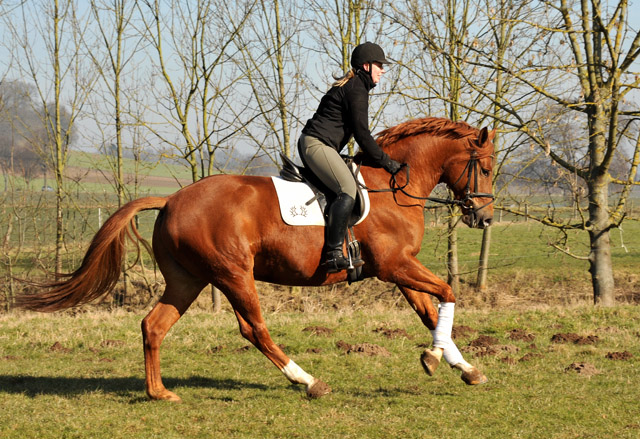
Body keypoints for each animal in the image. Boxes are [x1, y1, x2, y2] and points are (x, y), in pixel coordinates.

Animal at [13, 116, 496, 402]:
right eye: (488, 168)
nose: (485, 217)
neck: (394, 186)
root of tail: (171, 200)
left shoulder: (397, 270)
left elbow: (430, 311)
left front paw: (464, 367)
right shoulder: (395, 266)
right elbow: (447, 292)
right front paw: (435, 359)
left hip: (188, 280)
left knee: (154, 325)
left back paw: (159, 393)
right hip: (232, 274)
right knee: (254, 329)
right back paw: (308, 381)